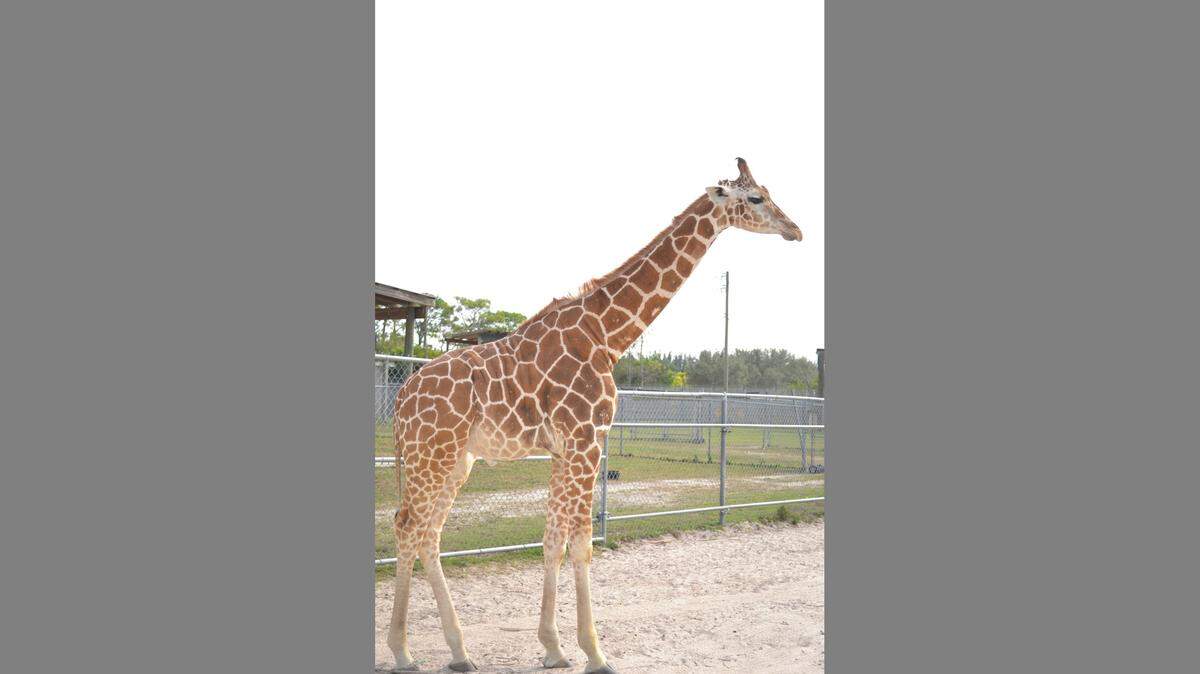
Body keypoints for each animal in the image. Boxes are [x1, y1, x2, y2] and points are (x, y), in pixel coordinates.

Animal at [387, 158, 802, 673]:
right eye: (756, 198)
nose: (795, 229)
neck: (608, 334)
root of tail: (401, 397)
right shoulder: (587, 437)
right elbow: (582, 543)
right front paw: (594, 652)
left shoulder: (565, 447)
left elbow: (553, 539)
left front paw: (553, 647)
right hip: (432, 454)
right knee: (408, 526)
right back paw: (403, 651)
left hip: (456, 459)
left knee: (429, 534)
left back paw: (460, 651)